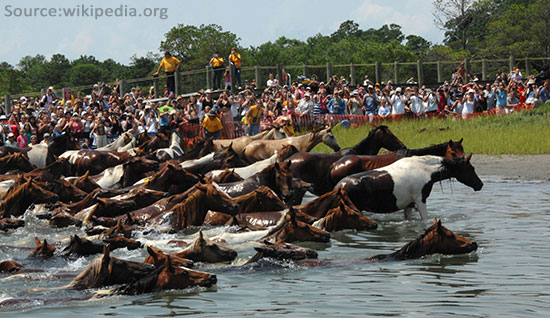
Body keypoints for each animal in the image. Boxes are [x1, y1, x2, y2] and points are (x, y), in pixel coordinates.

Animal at [334, 155, 486, 220]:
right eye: (471, 168)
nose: (480, 184)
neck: (425, 169)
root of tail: (340, 185)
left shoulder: (409, 205)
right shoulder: (420, 200)